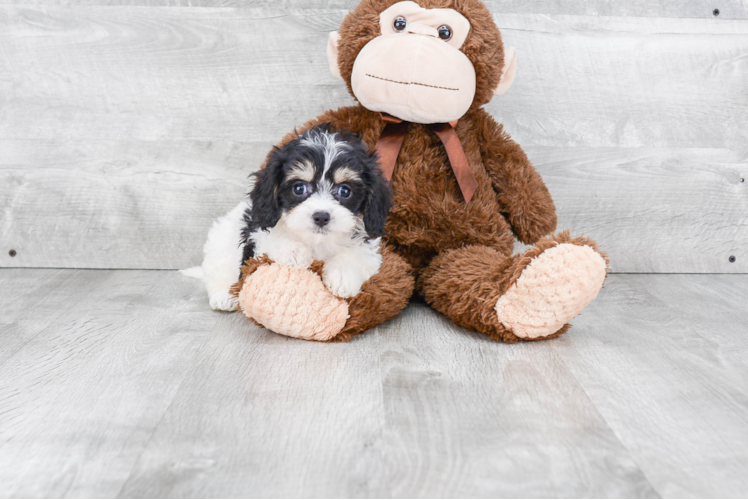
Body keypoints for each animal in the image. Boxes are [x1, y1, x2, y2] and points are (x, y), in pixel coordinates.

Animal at [193, 123, 392, 310]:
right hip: (221, 242)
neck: (316, 242)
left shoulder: (368, 249)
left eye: (345, 191)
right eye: (299, 188)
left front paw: (343, 276)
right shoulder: (258, 234)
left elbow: (356, 255)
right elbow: (272, 238)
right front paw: (294, 252)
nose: (321, 216)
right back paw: (223, 296)